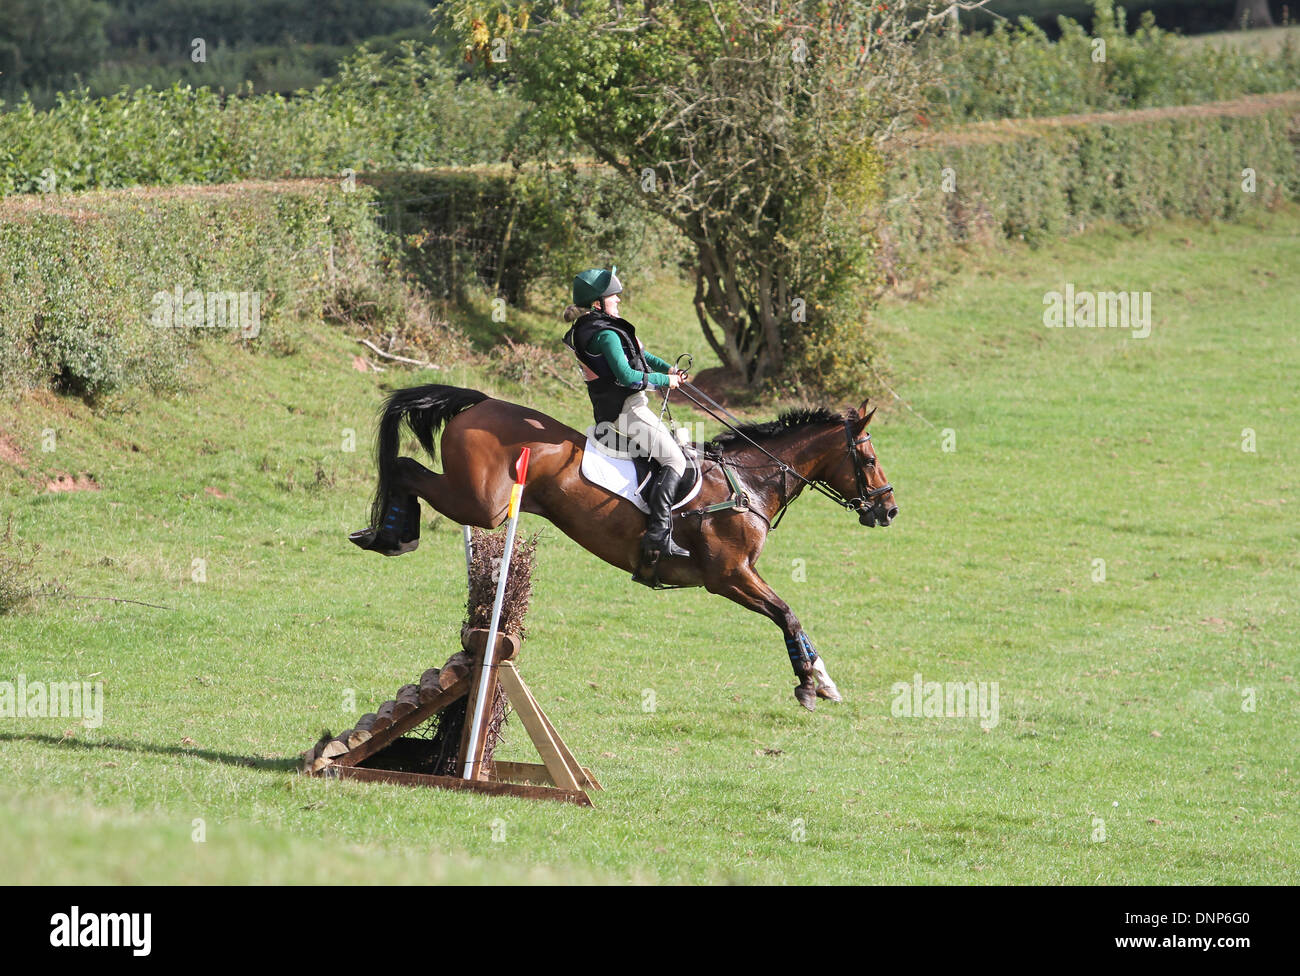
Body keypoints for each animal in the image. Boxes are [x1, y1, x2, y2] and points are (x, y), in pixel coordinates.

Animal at [350, 384, 898, 709]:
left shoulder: (739, 575)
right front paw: (806, 684)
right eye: (869, 459)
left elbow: (792, 616)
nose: (889, 510)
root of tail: (482, 401)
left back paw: (385, 534)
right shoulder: (728, 576)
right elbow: (787, 614)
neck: (750, 482)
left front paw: (823, 679)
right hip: (483, 506)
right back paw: (392, 535)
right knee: (405, 467)